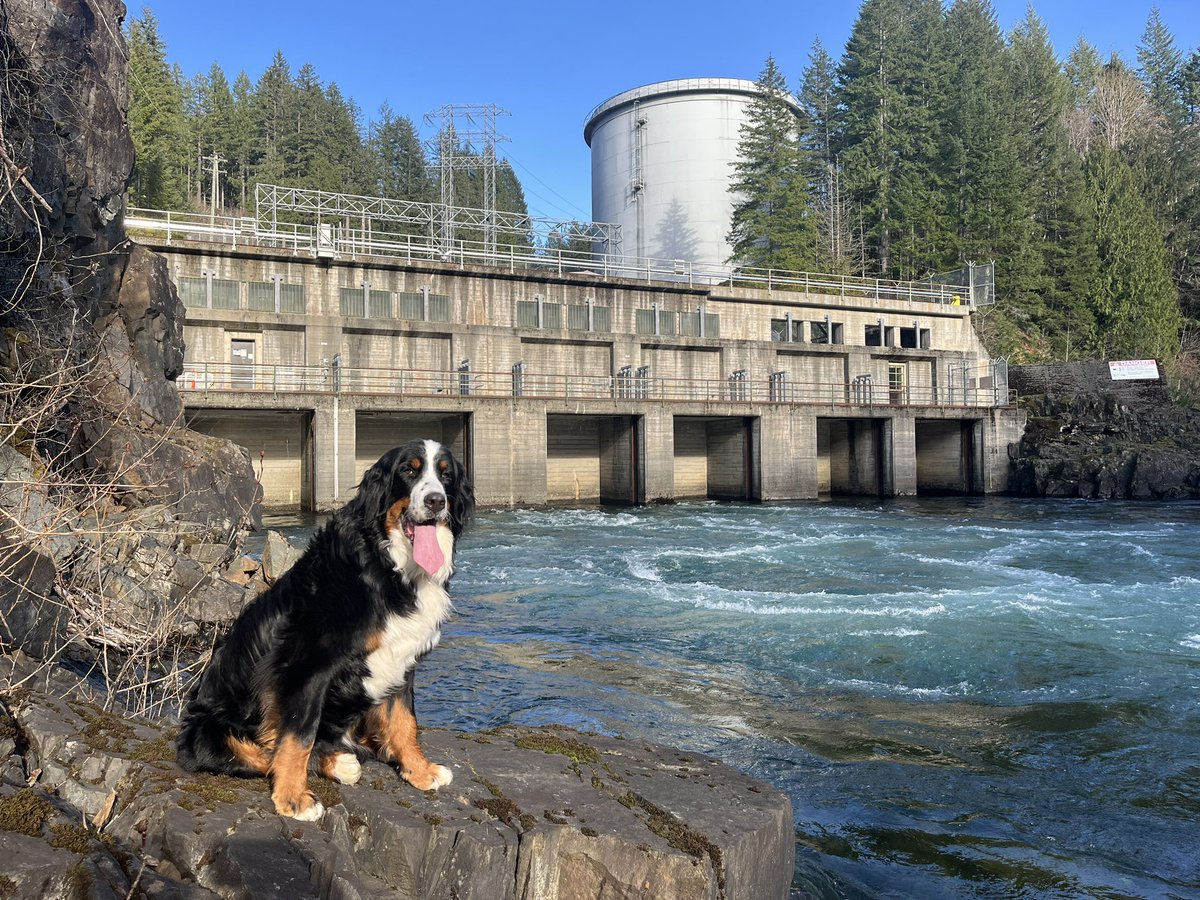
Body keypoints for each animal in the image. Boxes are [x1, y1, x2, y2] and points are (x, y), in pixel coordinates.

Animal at [176, 441, 472, 820]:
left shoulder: (403, 658)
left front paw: (419, 771)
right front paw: (292, 798)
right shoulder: (307, 665)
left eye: (446, 474)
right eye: (409, 470)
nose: (436, 501)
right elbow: (298, 735)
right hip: (210, 730)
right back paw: (332, 764)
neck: (387, 566)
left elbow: (405, 722)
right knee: (260, 752)